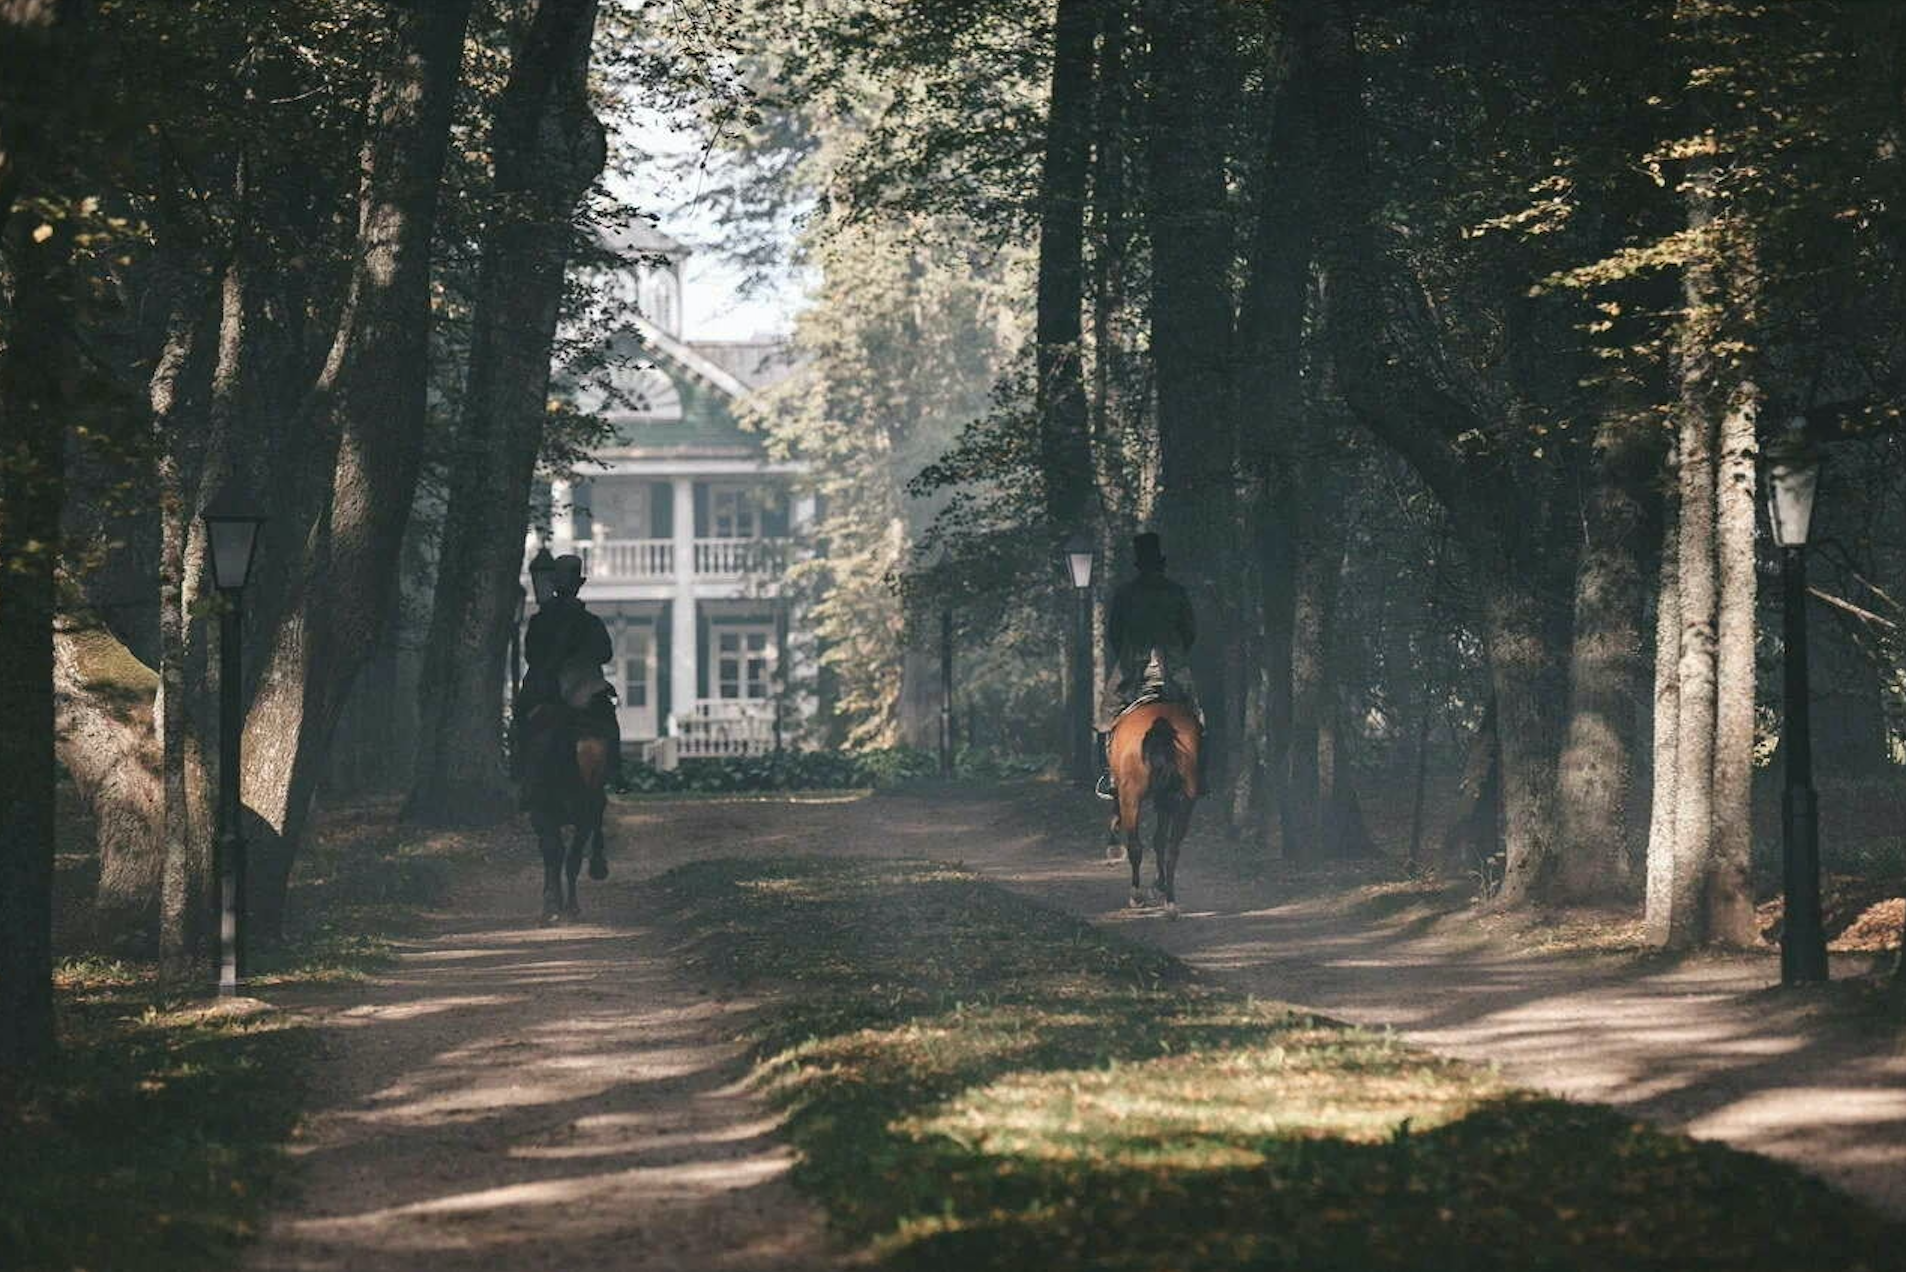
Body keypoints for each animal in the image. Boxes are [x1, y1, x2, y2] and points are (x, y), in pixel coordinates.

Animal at [1097, 705, 1196, 915]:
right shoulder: (1166, 801)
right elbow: (1160, 840)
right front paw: (1159, 885)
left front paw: (1114, 849)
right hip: (1183, 802)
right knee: (1172, 849)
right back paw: (1170, 903)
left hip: (1131, 798)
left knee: (1135, 846)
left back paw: (1136, 895)